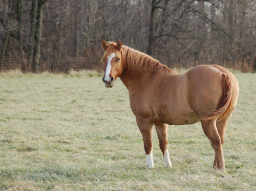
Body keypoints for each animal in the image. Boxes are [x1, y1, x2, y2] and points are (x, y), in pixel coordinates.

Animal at [101, 39, 239, 170]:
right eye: (104, 59)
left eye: (118, 59)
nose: (107, 80)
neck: (146, 79)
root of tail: (223, 73)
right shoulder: (160, 122)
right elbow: (164, 143)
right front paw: (167, 164)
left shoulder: (143, 120)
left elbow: (148, 143)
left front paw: (149, 165)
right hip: (222, 121)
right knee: (220, 141)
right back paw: (215, 166)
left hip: (208, 122)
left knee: (216, 142)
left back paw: (220, 168)